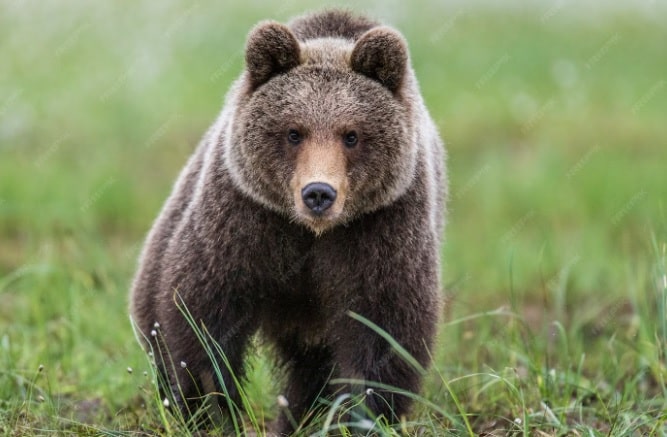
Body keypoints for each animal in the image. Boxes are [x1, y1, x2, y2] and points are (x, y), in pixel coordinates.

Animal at [130, 9, 446, 435]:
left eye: (351, 135)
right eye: (294, 132)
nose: (319, 193)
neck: (311, 234)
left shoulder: (380, 231)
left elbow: (384, 335)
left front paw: (359, 416)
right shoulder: (244, 221)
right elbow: (201, 318)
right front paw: (211, 409)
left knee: (311, 369)